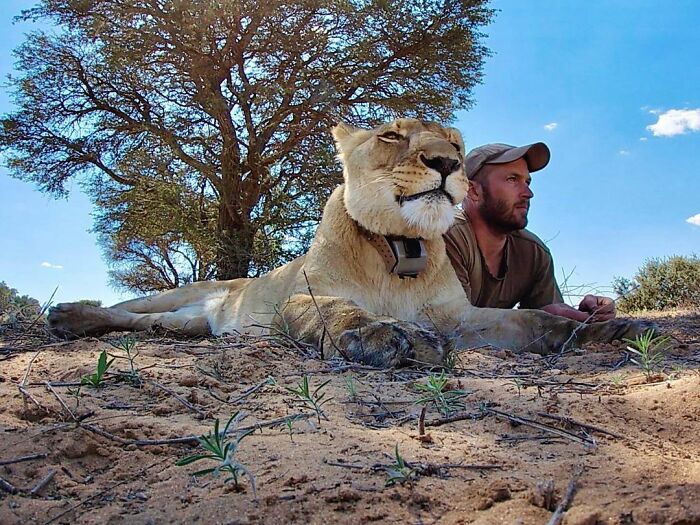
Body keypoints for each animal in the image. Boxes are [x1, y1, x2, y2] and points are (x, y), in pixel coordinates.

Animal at [48, 119, 651, 367]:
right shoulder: (300, 297)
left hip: (191, 320)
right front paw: (383, 335)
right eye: (390, 135)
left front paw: (604, 329)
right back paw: (66, 316)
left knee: (154, 325)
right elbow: (339, 311)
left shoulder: (458, 316)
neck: (402, 249)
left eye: (456, 143)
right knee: (124, 308)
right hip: (178, 293)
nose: (448, 163)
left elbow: (534, 320)